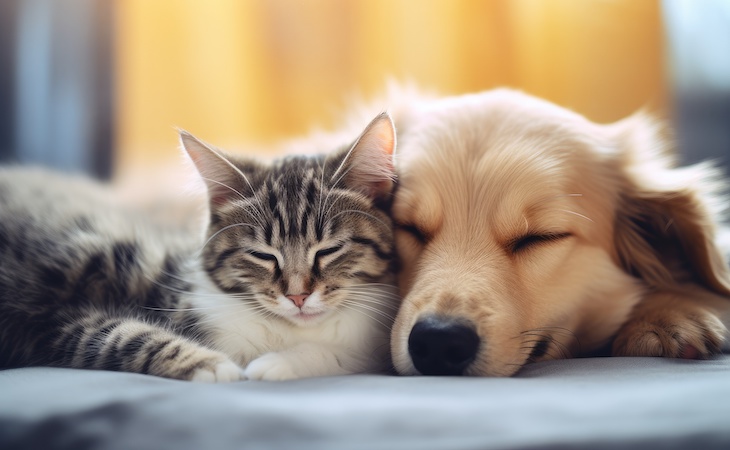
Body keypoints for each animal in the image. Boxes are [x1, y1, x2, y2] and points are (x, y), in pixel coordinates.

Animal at [0, 111, 398, 380]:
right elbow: (120, 335)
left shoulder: (364, 346)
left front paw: (276, 364)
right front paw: (214, 365)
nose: (298, 297)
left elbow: (336, 355)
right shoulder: (46, 319)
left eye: (329, 250)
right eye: (263, 255)